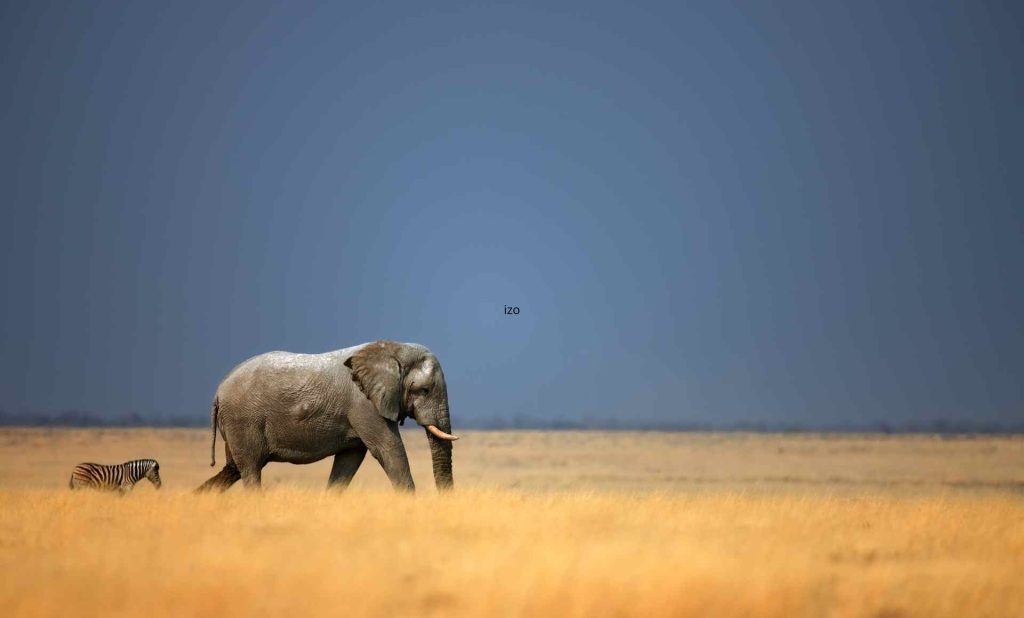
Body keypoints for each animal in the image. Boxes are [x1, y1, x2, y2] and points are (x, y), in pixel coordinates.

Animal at [196, 340, 458, 492]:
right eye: (424, 390)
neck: (393, 349)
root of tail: (218, 392)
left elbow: (349, 460)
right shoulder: (364, 404)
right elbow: (389, 450)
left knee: (233, 469)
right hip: (243, 419)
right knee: (250, 470)